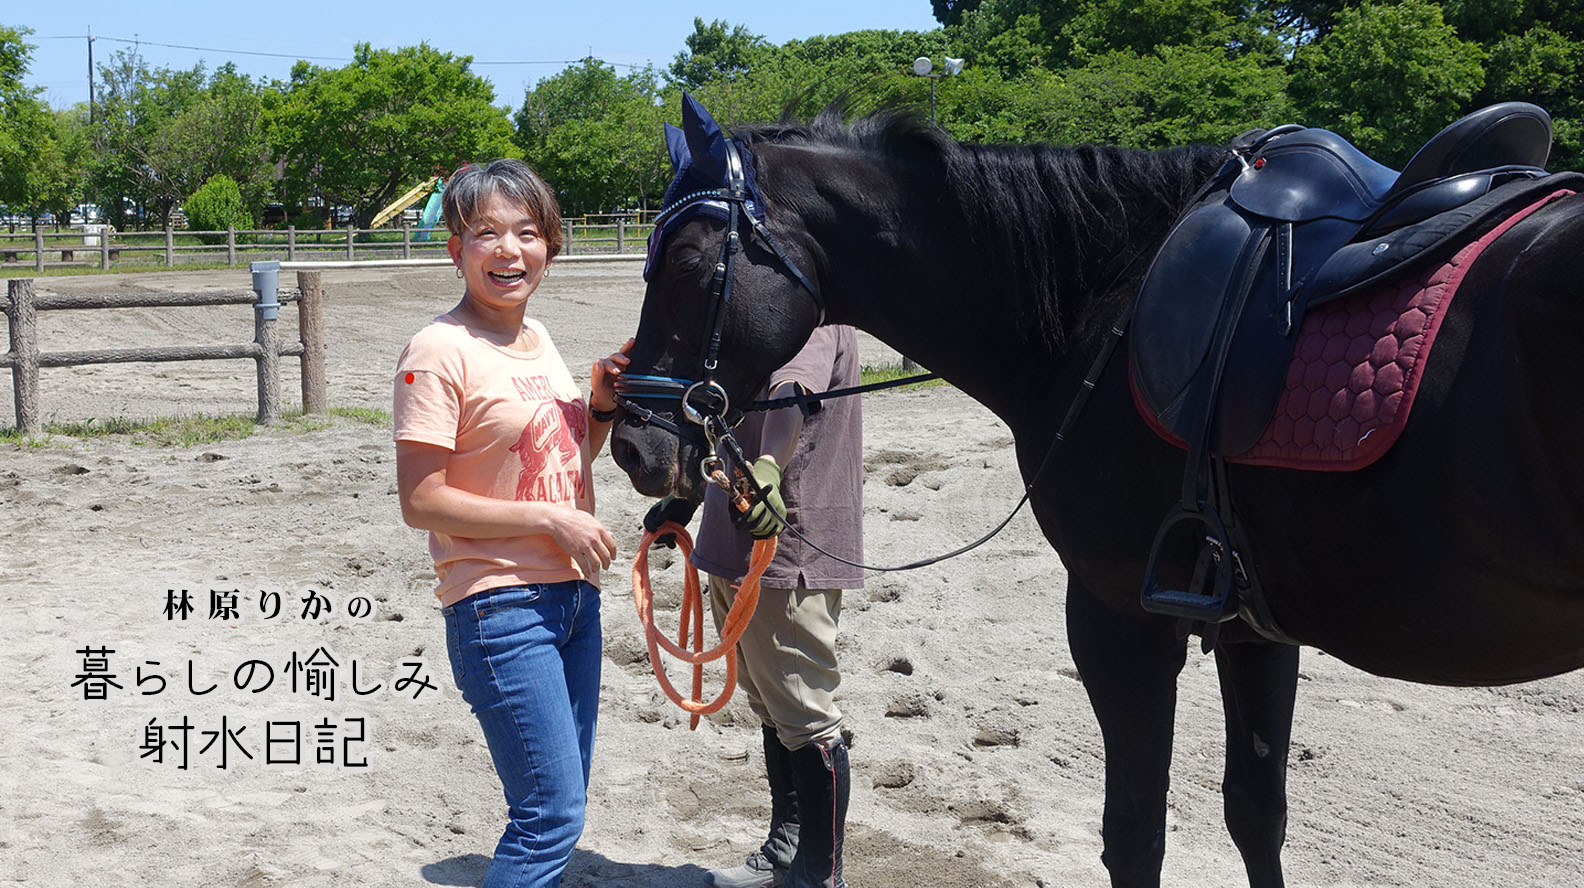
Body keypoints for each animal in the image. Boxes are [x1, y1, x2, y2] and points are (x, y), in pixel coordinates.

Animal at [608, 93, 1584, 880]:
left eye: (687, 262)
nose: (631, 445)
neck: (1103, 303)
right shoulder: (1254, 627)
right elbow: (1255, 813)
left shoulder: (1121, 621)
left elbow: (1135, 837)